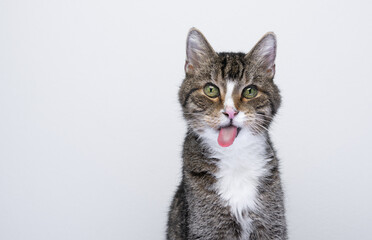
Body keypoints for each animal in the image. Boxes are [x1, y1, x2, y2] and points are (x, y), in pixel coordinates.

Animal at [166, 28, 288, 240]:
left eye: (250, 91)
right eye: (211, 89)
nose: (231, 112)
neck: (235, 157)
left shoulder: (272, 224)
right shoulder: (206, 227)